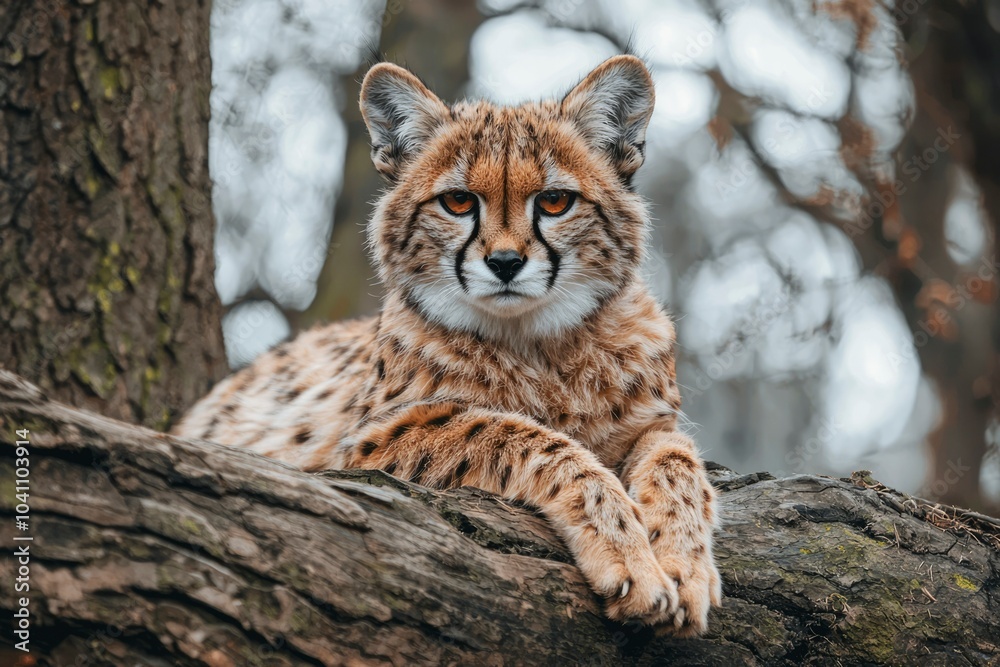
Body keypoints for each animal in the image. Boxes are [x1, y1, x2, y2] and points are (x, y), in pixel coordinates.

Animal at [174, 55, 722, 634]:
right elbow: (523, 436)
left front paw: (684, 566)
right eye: (458, 202)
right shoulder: (372, 442)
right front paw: (629, 556)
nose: (505, 263)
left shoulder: (652, 425)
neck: (540, 345)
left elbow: (680, 462)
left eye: (554, 201)